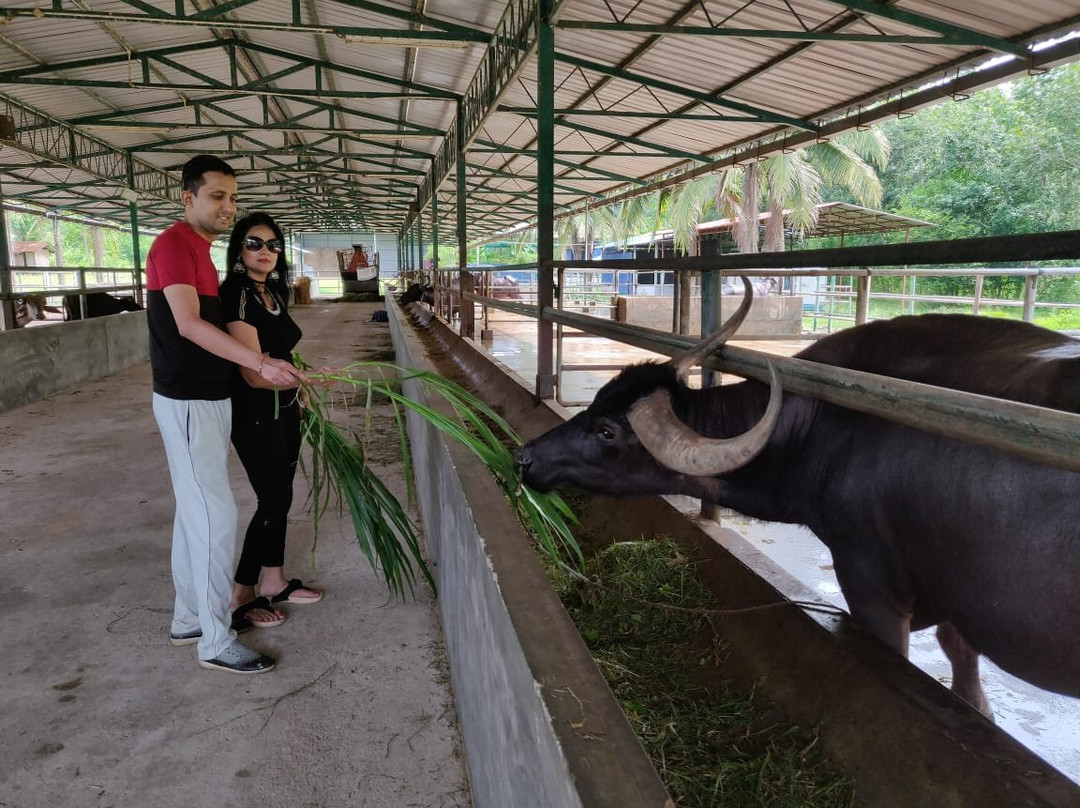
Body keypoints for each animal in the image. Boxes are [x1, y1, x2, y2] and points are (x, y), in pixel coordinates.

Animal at [514, 280, 1080, 717]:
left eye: (607, 430)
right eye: (596, 402)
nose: (524, 459)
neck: (825, 426)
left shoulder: (872, 586)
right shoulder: (954, 601)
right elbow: (963, 666)